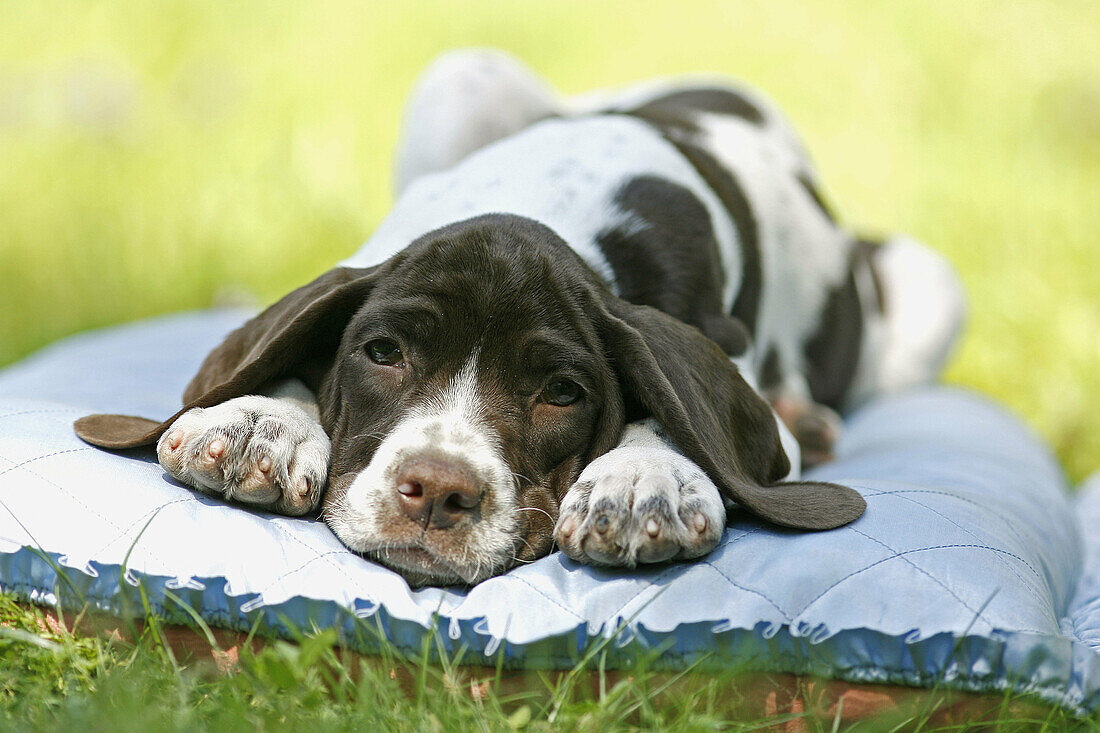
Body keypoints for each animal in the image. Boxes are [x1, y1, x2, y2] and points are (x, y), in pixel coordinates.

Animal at [73, 48, 963, 585]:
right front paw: (263, 420)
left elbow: (677, 413)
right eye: (383, 352)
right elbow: (291, 349)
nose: (436, 492)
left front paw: (643, 478)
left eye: (563, 393)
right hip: (462, 77)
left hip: (931, 289)